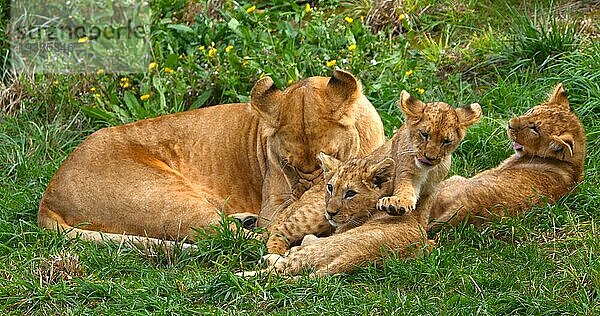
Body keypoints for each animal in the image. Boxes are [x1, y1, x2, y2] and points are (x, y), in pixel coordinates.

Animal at [38, 70, 384, 246]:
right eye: (287, 165)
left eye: (330, 156)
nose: (321, 201)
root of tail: (49, 193)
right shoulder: (275, 204)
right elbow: (276, 223)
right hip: (167, 197)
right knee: (230, 237)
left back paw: (244, 218)